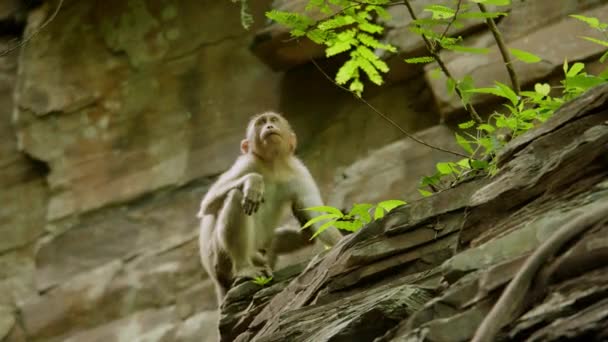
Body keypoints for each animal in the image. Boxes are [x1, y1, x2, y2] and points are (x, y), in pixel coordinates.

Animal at [198, 110, 344, 304]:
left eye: (273, 120)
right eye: (260, 123)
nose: (269, 126)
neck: (272, 165)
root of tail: (217, 282)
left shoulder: (299, 173)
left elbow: (318, 219)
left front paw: (341, 241)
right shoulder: (247, 163)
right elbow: (208, 205)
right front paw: (253, 181)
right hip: (219, 261)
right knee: (236, 196)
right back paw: (244, 266)